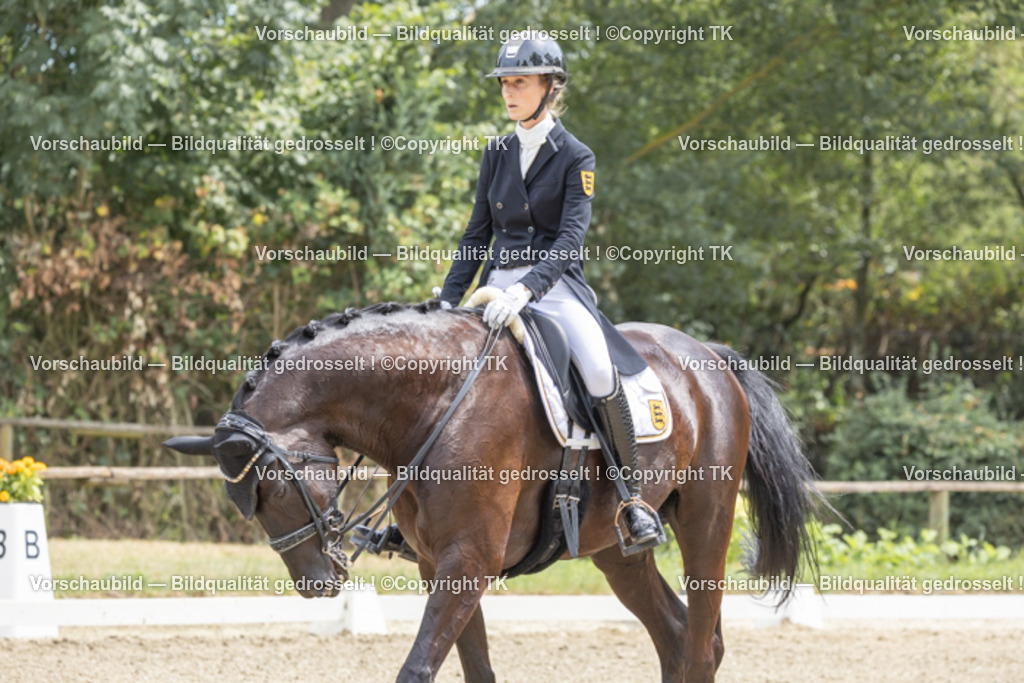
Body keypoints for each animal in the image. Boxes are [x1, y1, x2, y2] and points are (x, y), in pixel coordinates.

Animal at [165, 300, 819, 682]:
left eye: (274, 488)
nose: (316, 586)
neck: (434, 404)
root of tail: (708, 355)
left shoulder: (469, 559)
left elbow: (417, 670)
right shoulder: (439, 563)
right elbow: (476, 670)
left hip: (708, 519)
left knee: (702, 645)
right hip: (614, 549)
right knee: (677, 638)